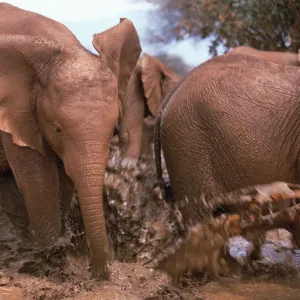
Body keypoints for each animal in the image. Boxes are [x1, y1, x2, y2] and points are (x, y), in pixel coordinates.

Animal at [0, 2, 142, 278]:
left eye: (113, 130)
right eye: (57, 129)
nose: (100, 272)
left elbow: (61, 181)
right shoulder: (14, 107)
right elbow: (38, 178)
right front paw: (51, 265)